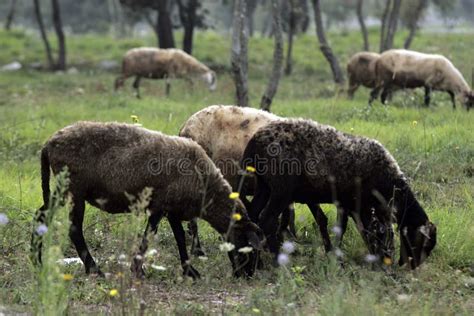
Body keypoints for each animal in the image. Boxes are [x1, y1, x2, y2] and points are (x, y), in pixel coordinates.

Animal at [32, 121, 262, 278]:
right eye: (248, 247)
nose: (247, 275)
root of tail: (49, 144)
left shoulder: (172, 208)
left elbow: (180, 238)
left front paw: (189, 270)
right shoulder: (159, 206)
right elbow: (149, 237)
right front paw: (138, 270)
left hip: (64, 190)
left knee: (41, 215)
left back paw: (37, 260)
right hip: (74, 189)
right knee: (74, 229)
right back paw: (94, 269)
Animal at [244, 119, 436, 270]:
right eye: (423, 242)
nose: (413, 266)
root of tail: (254, 141)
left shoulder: (351, 205)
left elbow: (361, 230)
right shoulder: (356, 204)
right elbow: (359, 230)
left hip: (264, 185)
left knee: (252, 214)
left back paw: (256, 258)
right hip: (281, 189)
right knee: (266, 219)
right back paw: (277, 262)